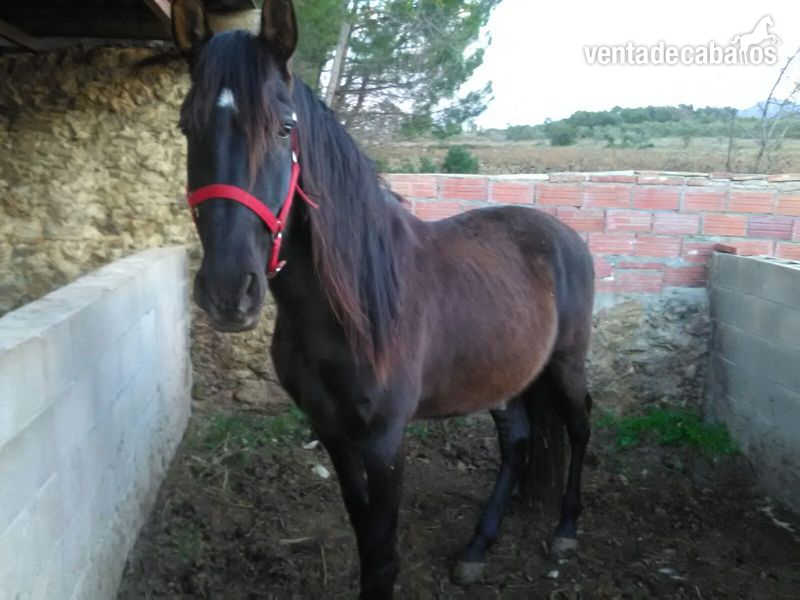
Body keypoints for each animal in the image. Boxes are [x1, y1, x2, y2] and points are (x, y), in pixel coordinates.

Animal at [170, 0, 594, 597]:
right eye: (187, 125)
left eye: (285, 127)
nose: (229, 289)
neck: (348, 309)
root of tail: (564, 235)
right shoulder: (332, 433)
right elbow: (365, 537)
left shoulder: (385, 441)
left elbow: (383, 554)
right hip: (507, 374)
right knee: (516, 442)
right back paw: (478, 546)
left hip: (566, 362)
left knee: (579, 426)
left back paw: (566, 529)